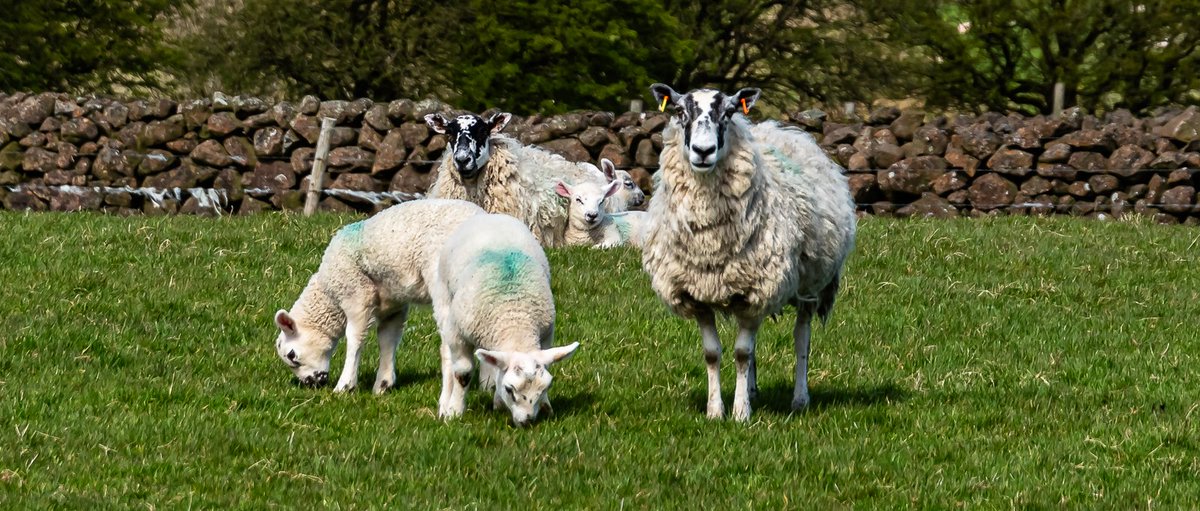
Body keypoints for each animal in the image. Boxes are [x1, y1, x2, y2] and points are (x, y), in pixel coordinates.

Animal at [272, 197, 482, 393]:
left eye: (292, 355)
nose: (311, 383)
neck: (330, 293)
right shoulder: (394, 305)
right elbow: (387, 340)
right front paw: (383, 384)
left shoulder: (356, 295)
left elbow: (354, 339)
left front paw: (345, 386)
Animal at [432, 212, 580, 427]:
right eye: (510, 389)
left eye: (545, 387)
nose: (527, 422)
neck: (513, 317)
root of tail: (491, 216)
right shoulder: (459, 334)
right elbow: (463, 373)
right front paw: (454, 412)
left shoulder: (546, 334)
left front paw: (544, 406)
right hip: (444, 301)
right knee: (446, 355)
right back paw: (445, 403)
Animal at [648, 81, 854, 422]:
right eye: (679, 111)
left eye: (729, 112)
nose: (703, 152)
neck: (709, 239)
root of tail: (781, 129)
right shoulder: (697, 293)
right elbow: (713, 354)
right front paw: (716, 411)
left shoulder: (759, 290)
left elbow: (742, 353)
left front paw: (741, 413)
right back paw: (755, 391)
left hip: (810, 284)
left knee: (801, 339)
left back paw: (800, 399)